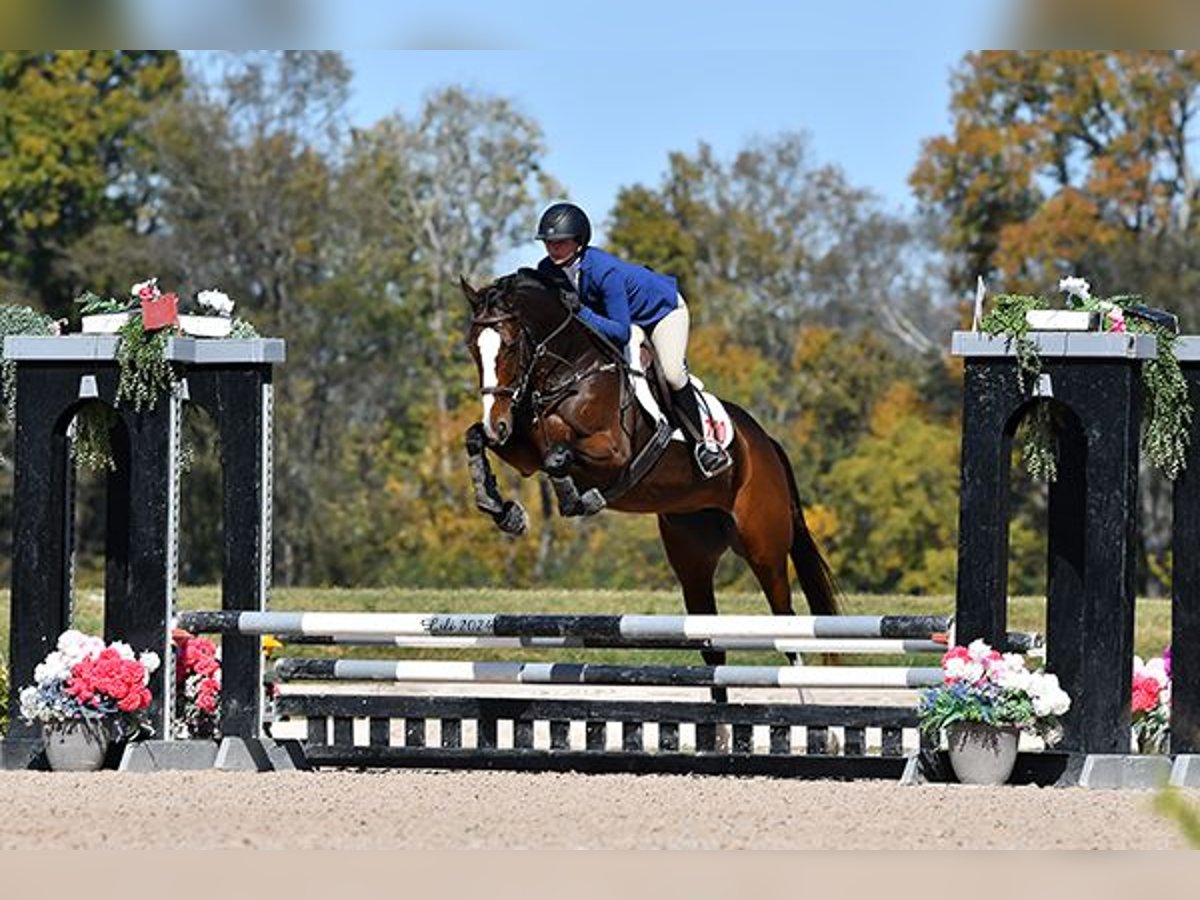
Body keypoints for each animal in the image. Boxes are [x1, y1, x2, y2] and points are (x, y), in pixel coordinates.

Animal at [460, 264, 844, 667]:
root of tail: (767, 443)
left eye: (509, 346)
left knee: (785, 620)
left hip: (763, 545)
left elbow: (558, 457)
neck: (570, 374)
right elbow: (477, 440)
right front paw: (502, 509)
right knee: (711, 638)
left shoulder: (614, 454)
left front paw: (576, 500)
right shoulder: (523, 452)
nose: (497, 423)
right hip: (692, 553)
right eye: (472, 347)